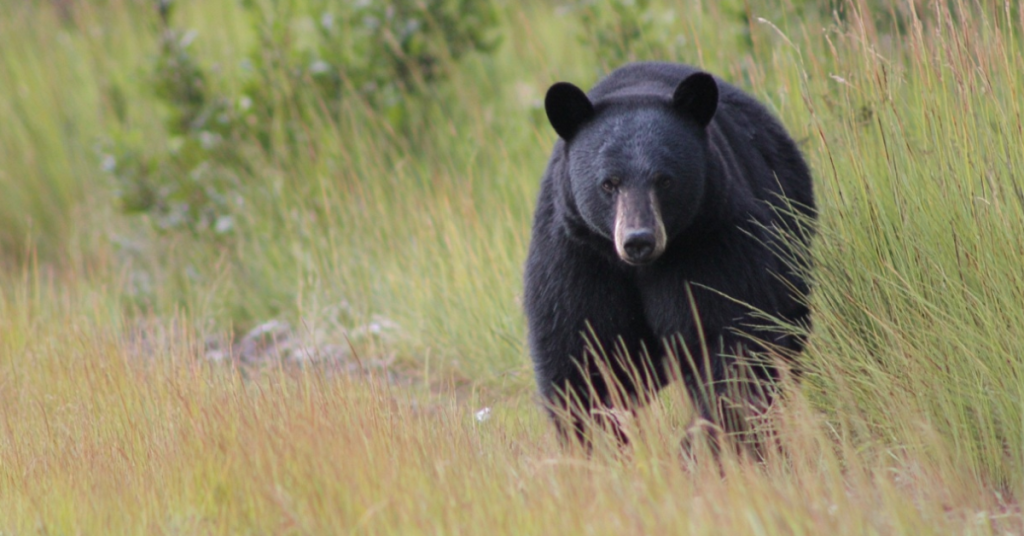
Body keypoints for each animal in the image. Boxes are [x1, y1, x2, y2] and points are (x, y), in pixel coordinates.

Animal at [523, 62, 816, 455]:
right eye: (609, 183)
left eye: (664, 180)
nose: (638, 240)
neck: (639, 269)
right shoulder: (577, 256)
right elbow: (581, 351)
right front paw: (600, 446)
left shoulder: (709, 244)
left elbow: (727, 338)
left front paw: (706, 442)